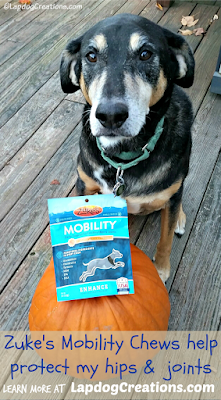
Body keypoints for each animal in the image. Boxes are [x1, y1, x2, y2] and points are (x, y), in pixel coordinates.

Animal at [59, 12, 194, 282]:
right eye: (91, 56)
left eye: (145, 54)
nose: (110, 115)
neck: (122, 158)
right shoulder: (84, 184)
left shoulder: (172, 191)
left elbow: (165, 241)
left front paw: (161, 270)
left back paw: (180, 218)